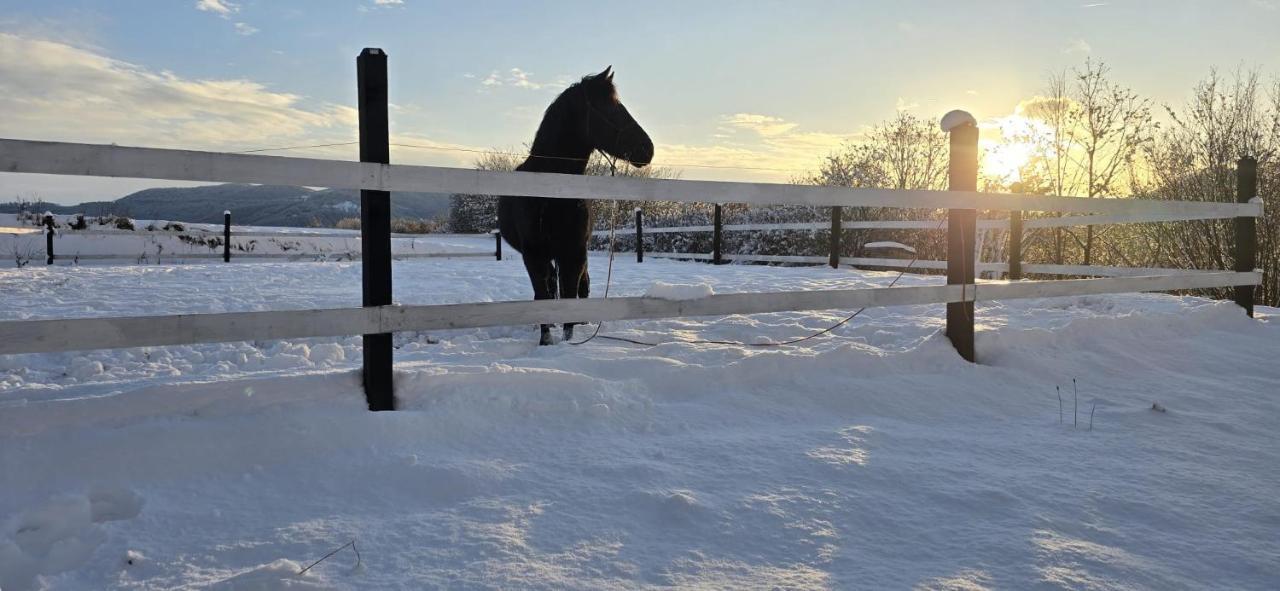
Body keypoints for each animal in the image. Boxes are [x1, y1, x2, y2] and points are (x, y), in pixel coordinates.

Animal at [498, 66, 654, 345]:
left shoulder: (575, 252)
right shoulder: (534, 255)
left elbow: (571, 294)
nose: (648, 149)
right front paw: (546, 340)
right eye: (610, 108)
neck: (553, 193)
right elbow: (544, 294)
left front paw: (569, 339)